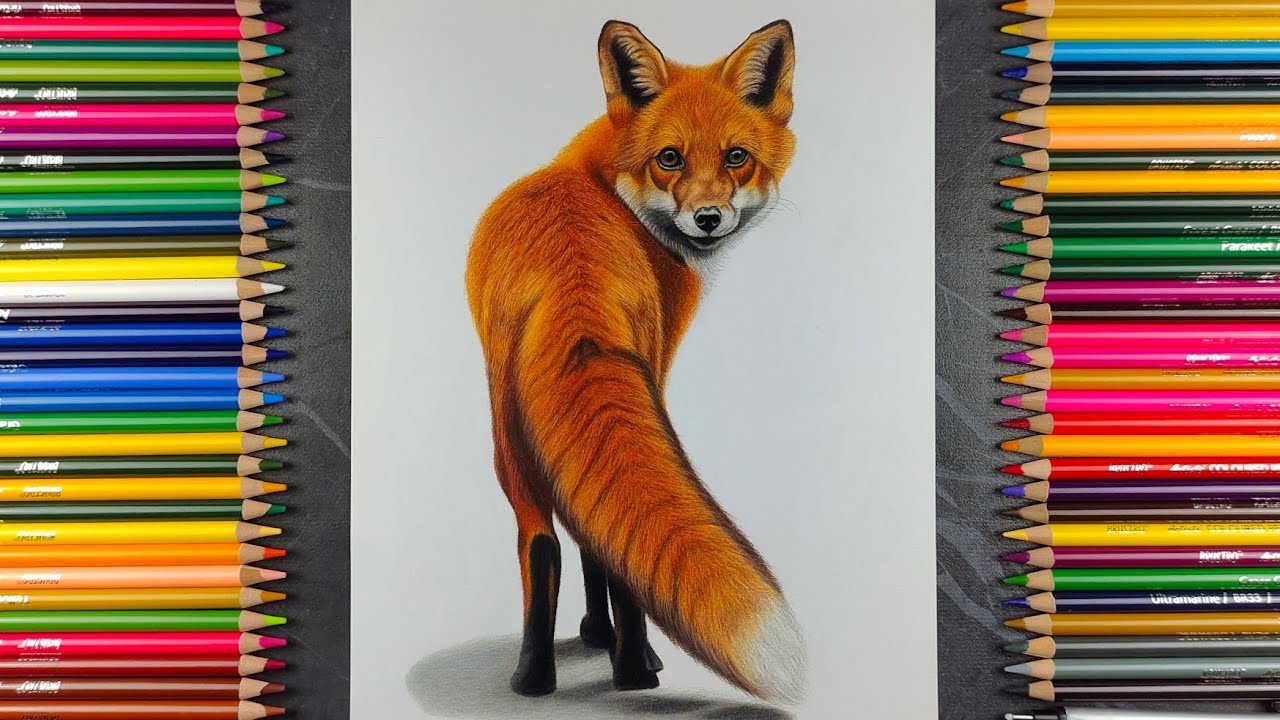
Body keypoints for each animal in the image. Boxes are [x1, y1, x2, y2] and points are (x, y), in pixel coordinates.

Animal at [464, 19, 804, 704]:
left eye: (736, 157)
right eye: (668, 158)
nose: (708, 218)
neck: (598, 182)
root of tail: (576, 277)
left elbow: (593, 536)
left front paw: (596, 633)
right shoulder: (659, 367)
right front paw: (610, 637)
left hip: (508, 432)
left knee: (544, 542)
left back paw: (535, 678)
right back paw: (636, 668)